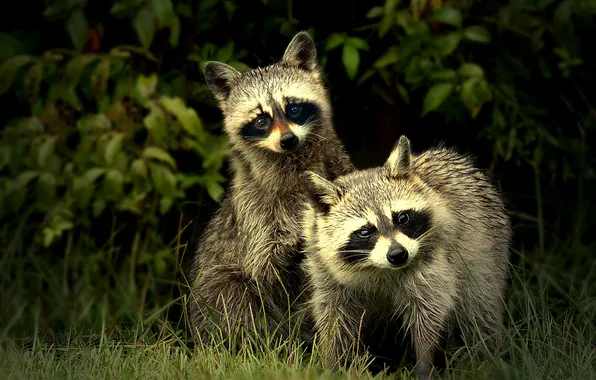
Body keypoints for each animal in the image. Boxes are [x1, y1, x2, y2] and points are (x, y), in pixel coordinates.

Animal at [189, 30, 352, 344]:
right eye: (261, 119)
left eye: (294, 108)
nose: (288, 140)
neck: (292, 160)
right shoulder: (255, 208)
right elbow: (263, 267)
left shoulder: (339, 169)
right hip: (214, 287)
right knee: (230, 294)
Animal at [302, 136, 512, 380]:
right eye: (365, 231)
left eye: (402, 218)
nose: (397, 254)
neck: (377, 268)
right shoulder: (325, 271)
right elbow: (334, 318)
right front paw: (333, 364)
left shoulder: (433, 262)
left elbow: (429, 310)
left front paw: (424, 362)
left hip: (485, 255)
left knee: (480, 308)